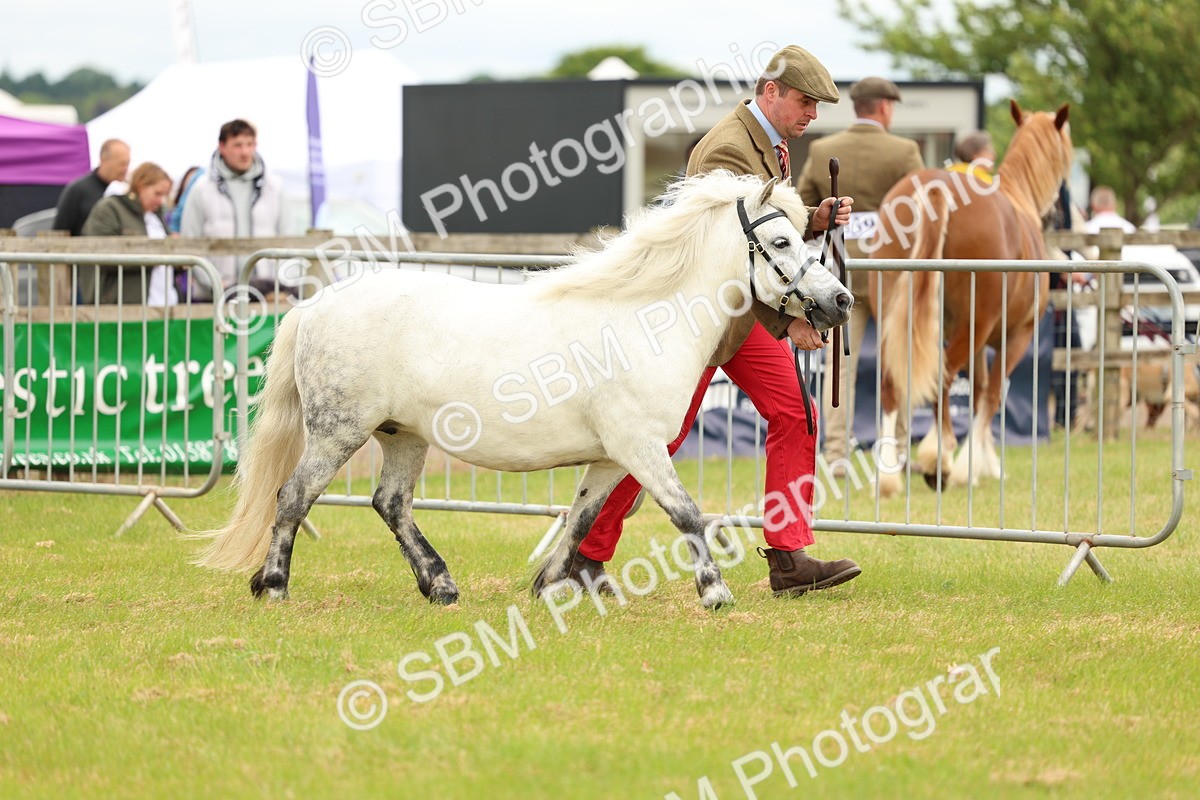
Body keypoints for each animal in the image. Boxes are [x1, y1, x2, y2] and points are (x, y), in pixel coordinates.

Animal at [194, 171, 852, 609]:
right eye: (784, 243)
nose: (841, 301)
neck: (644, 317)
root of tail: (315, 304)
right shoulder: (639, 447)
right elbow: (687, 513)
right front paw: (714, 592)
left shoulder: (611, 458)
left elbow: (582, 519)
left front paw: (549, 587)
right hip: (338, 432)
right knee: (293, 497)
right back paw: (274, 586)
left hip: (402, 436)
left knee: (391, 504)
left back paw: (439, 585)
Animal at [866, 100, 1072, 498]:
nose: (1055, 214)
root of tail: (935, 192)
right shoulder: (1014, 336)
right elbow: (991, 396)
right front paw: (972, 466)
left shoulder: (976, 341)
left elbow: (976, 392)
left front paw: (985, 463)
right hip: (972, 326)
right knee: (943, 377)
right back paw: (940, 457)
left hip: (893, 316)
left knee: (892, 382)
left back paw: (887, 475)